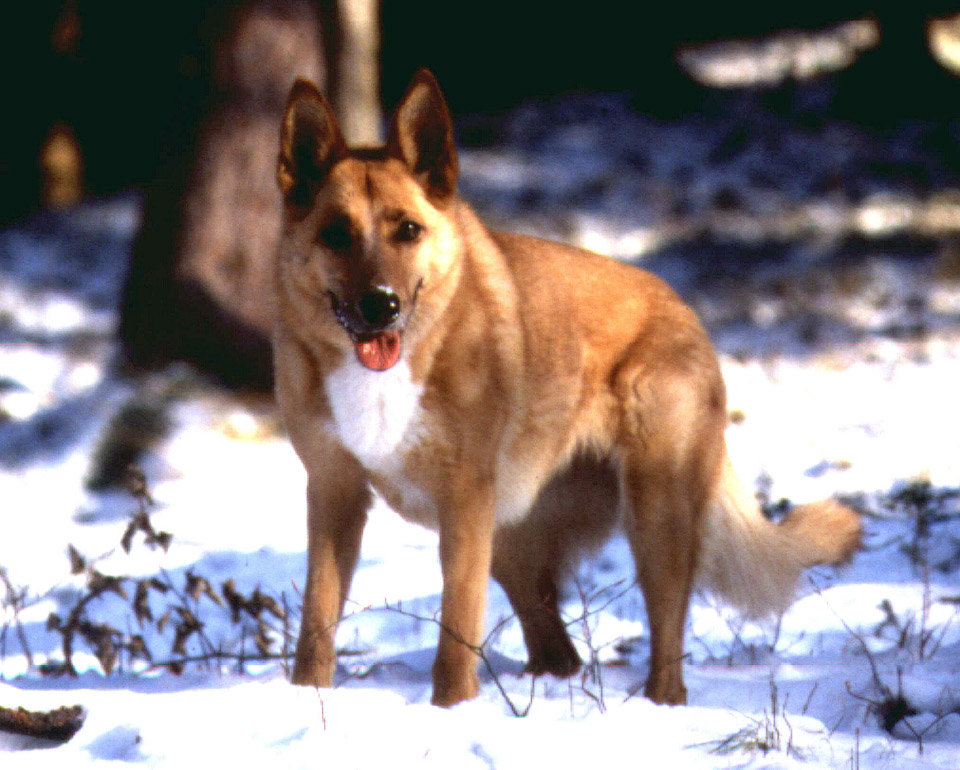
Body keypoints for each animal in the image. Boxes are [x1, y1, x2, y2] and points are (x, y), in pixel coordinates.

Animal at [272, 69, 864, 704]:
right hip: (510, 541)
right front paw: (306, 697)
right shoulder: (335, 493)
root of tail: (682, 307)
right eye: (336, 234)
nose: (380, 305)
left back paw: (657, 704)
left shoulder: (462, 502)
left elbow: (456, 635)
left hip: (653, 516)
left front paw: (451, 710)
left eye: (407, 230)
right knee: (558, 649)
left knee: (666, 648)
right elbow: (317, 621)